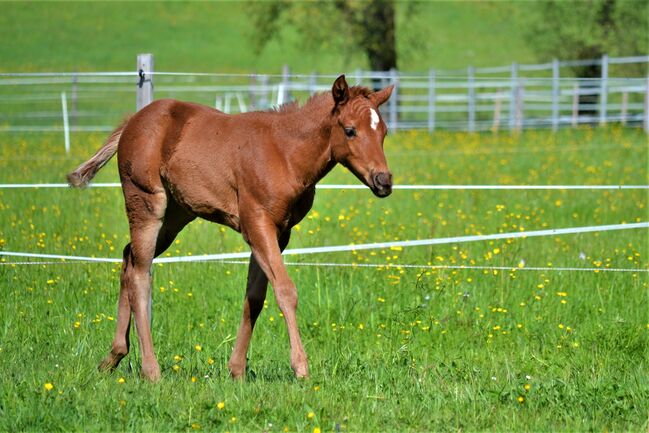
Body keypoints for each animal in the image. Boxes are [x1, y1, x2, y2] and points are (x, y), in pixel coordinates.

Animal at [69, 76, 394, 380]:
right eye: (350, 130)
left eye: (384, 132)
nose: (384, 181)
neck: (284, 153)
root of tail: (133, 121)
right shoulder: (257, 224)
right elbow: (285, 290)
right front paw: (301, 368)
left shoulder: (279, 232)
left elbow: (255, 297)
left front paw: (236, 370)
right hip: (147, 205)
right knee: (140, 274)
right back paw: (151, 371)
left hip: (176, 217)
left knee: (129, 258)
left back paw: (114, 356)